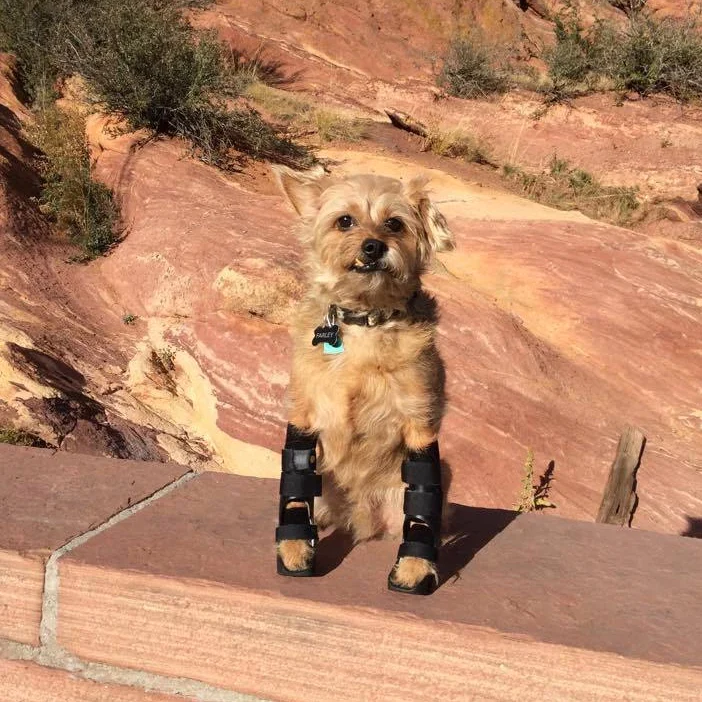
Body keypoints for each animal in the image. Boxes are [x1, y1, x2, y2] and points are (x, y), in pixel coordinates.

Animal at [272, 166, 454, 600]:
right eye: (345, 221)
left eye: (395, 224)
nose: (373, 247)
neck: (367, 321)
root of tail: (363, 523)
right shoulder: (304, 415)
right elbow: (295, 490)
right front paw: (294, 549)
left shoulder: (420, 423)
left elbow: (422, 510)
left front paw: (415, 568)